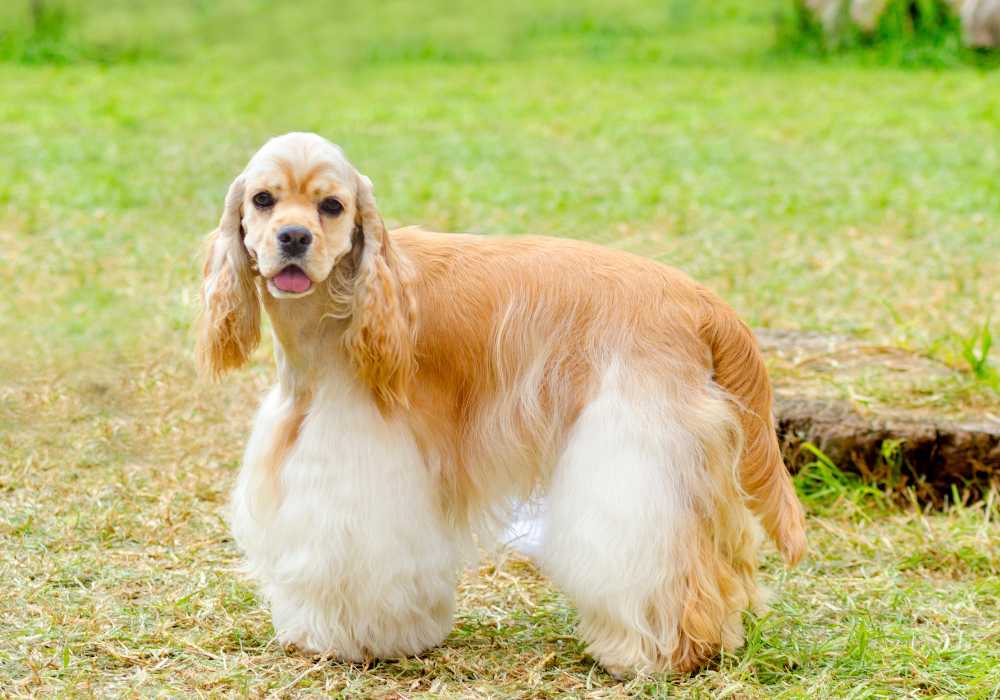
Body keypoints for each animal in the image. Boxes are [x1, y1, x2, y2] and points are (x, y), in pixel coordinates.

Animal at [199, 131, 808, 680]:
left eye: (332, 206)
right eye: (263, 199)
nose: (294, 237)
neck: (341, 307)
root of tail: (701, 300)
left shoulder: (364, 460)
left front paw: (358, 639)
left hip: (637, 444)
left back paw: (657, 654)